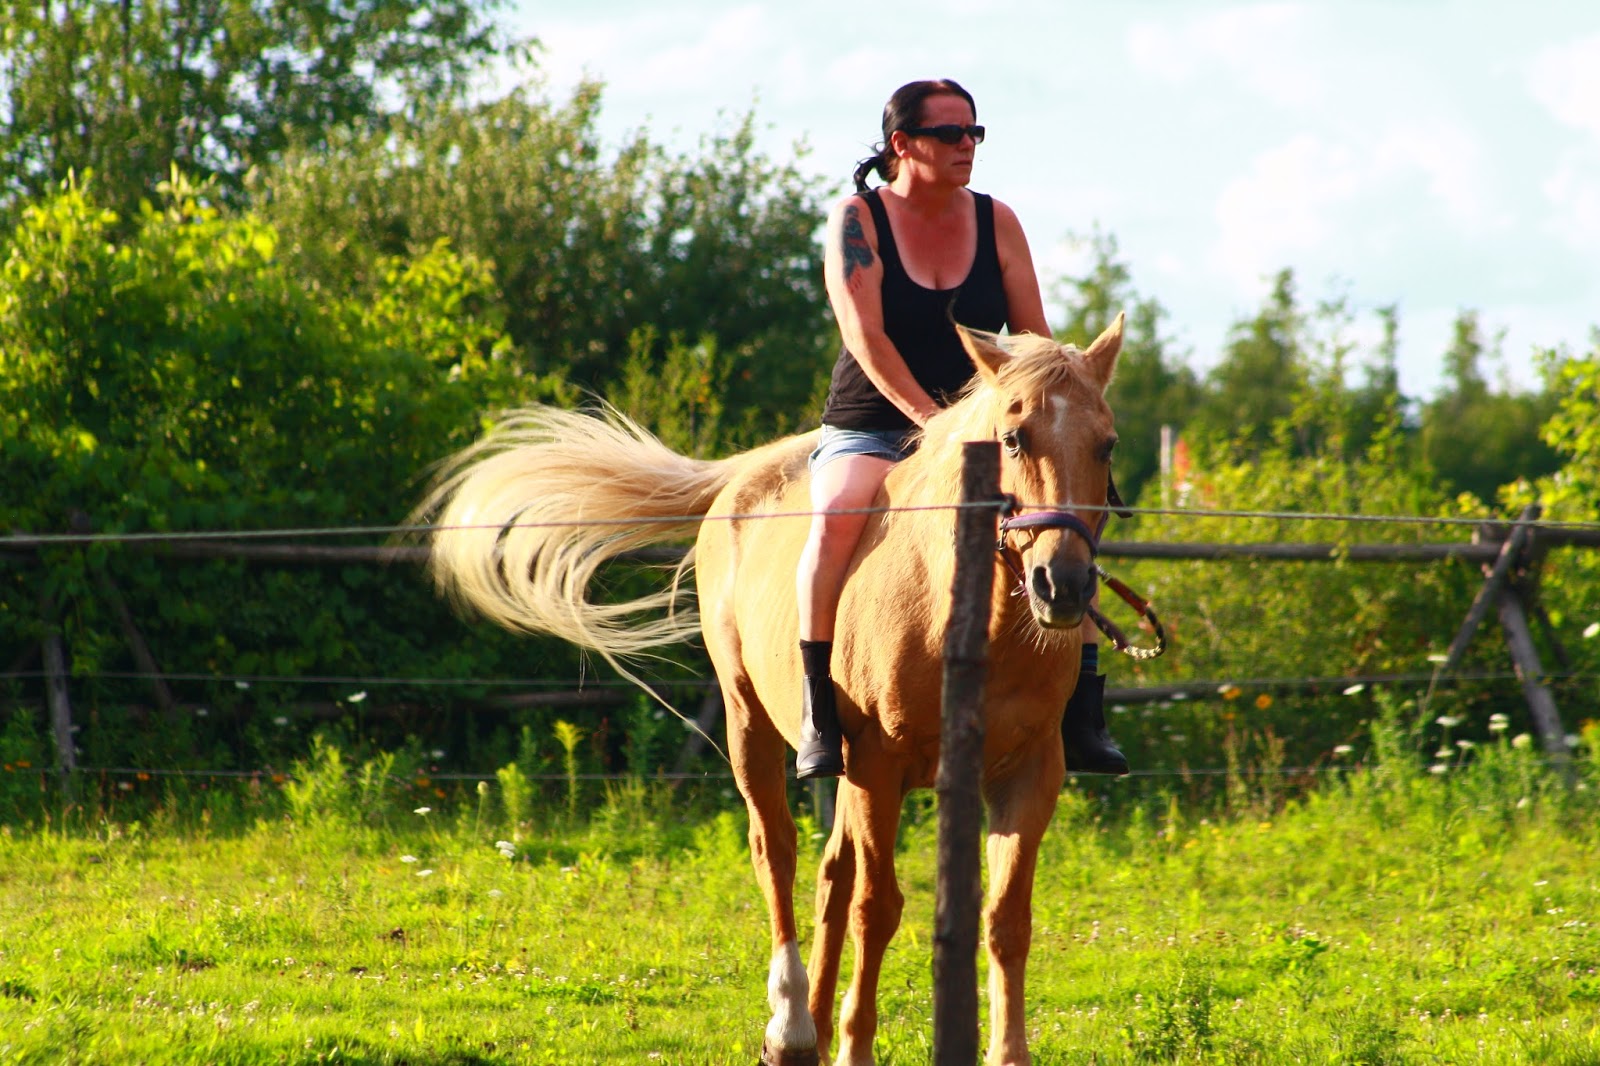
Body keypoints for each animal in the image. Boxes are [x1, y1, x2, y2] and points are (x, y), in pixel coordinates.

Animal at [418, 316, 1124, 1066]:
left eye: (1106, 444)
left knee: (830, 873)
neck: (966, 609)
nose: (1062, 584)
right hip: (752, 725)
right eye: (1014, 438)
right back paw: (792, 1027)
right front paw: (854, 1047)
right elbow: (878, 908)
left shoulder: (1027, 772)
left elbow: (1005, 918)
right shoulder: (880, 764)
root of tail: (744, 476)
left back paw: (812, 1020)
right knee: (778, 852)